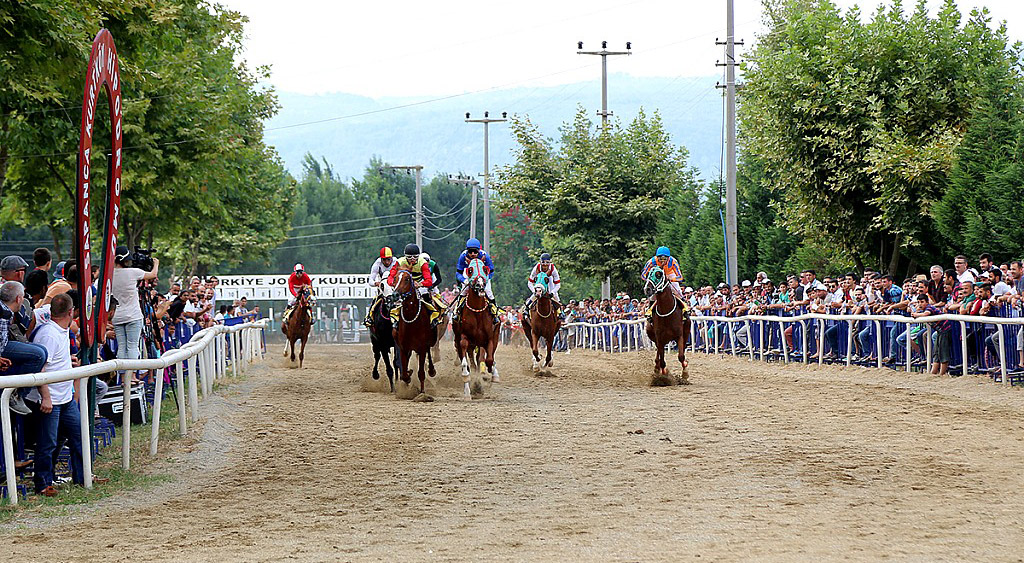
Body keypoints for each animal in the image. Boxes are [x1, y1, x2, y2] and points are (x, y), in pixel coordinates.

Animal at [391, 266, 436, 395]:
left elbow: (421, 372)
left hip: (430, 341)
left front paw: (422, 392)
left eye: (407, 279)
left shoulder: (422, 347)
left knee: (429, 353)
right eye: (395, 278)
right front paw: (408, 377)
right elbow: (404, 373)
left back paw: (432, 370)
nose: (395, 294)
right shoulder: (403, 347)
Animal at [452, 260, 499, 397]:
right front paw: (469, 388)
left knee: (486, 357)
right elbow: (465, 364)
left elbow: (489, 359)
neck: (477, 312)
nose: (480, 285)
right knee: (471, 361)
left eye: (485, 269)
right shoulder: (463, 338)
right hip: (468, 343)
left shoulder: (489, 338)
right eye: (470, 270)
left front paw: (491, 374)